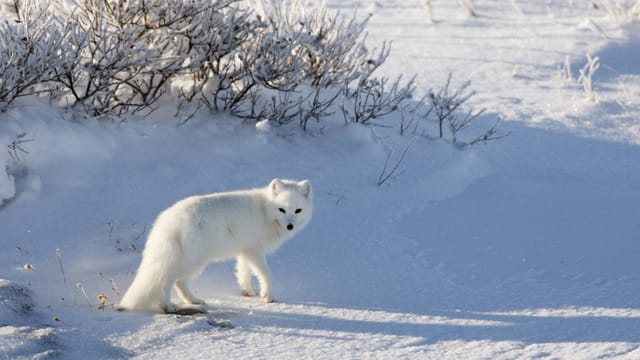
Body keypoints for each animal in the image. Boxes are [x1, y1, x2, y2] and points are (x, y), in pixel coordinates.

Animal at [119, 179, 314, 314]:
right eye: (282, 209)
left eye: (298, 210)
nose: (290, 226)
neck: (265, 211)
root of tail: (169, 219)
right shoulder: (255, 251)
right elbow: (266, 274)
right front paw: (268, 297)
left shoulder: (244, 251)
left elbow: (243, 272)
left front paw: (247, 292)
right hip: (193, 261)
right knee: (166, 280)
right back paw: (167, 306)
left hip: (194, 262)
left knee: (179, 282)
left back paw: (194, 301)